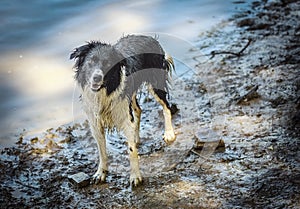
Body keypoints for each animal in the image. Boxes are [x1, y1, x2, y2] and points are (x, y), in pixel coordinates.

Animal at [70, 34, 176, 186]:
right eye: (90, 62)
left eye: (108, 64)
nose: (96, 77)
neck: (104, 91)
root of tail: (151, 37)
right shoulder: (95, 123)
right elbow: (102, 151)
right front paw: (101, 173)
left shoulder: (124, 115)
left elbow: (131, 151)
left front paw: (135, 176)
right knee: (138, 110)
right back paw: (136, 137)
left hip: (156, 83)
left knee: (166, 107)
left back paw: (169, 133)